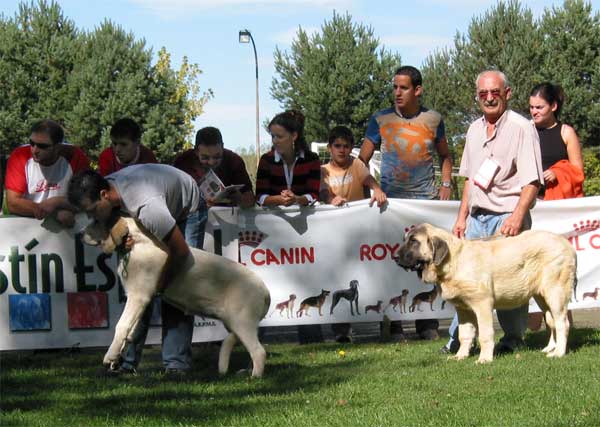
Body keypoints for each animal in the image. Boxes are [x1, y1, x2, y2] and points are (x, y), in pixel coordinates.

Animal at [83, 217, 270, 378]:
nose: (80, 233)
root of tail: (265, 291)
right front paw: (117, 357)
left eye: (97, 221)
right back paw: (243, 371)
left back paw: (255, 377)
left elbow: (121, 326)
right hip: (234, 325)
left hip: (242, 323)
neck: (137, 243)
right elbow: (130, 330)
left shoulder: (138, 297)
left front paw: (110, 355)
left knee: (259, 351)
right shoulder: (137, 300)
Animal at [394, 224, 576, 364]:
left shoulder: (482, 304)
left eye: (414, 241)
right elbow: (465, 335)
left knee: (562, 323)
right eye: (406, 239)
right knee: (551, 321)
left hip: (555, 292)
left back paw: (558, 353)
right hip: (542, 296)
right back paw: (550, 348)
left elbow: (485, 334)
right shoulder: (463, 310)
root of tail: (567, 244)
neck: (453, 262)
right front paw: (460, 356)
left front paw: (485, 359)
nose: (395, 256)